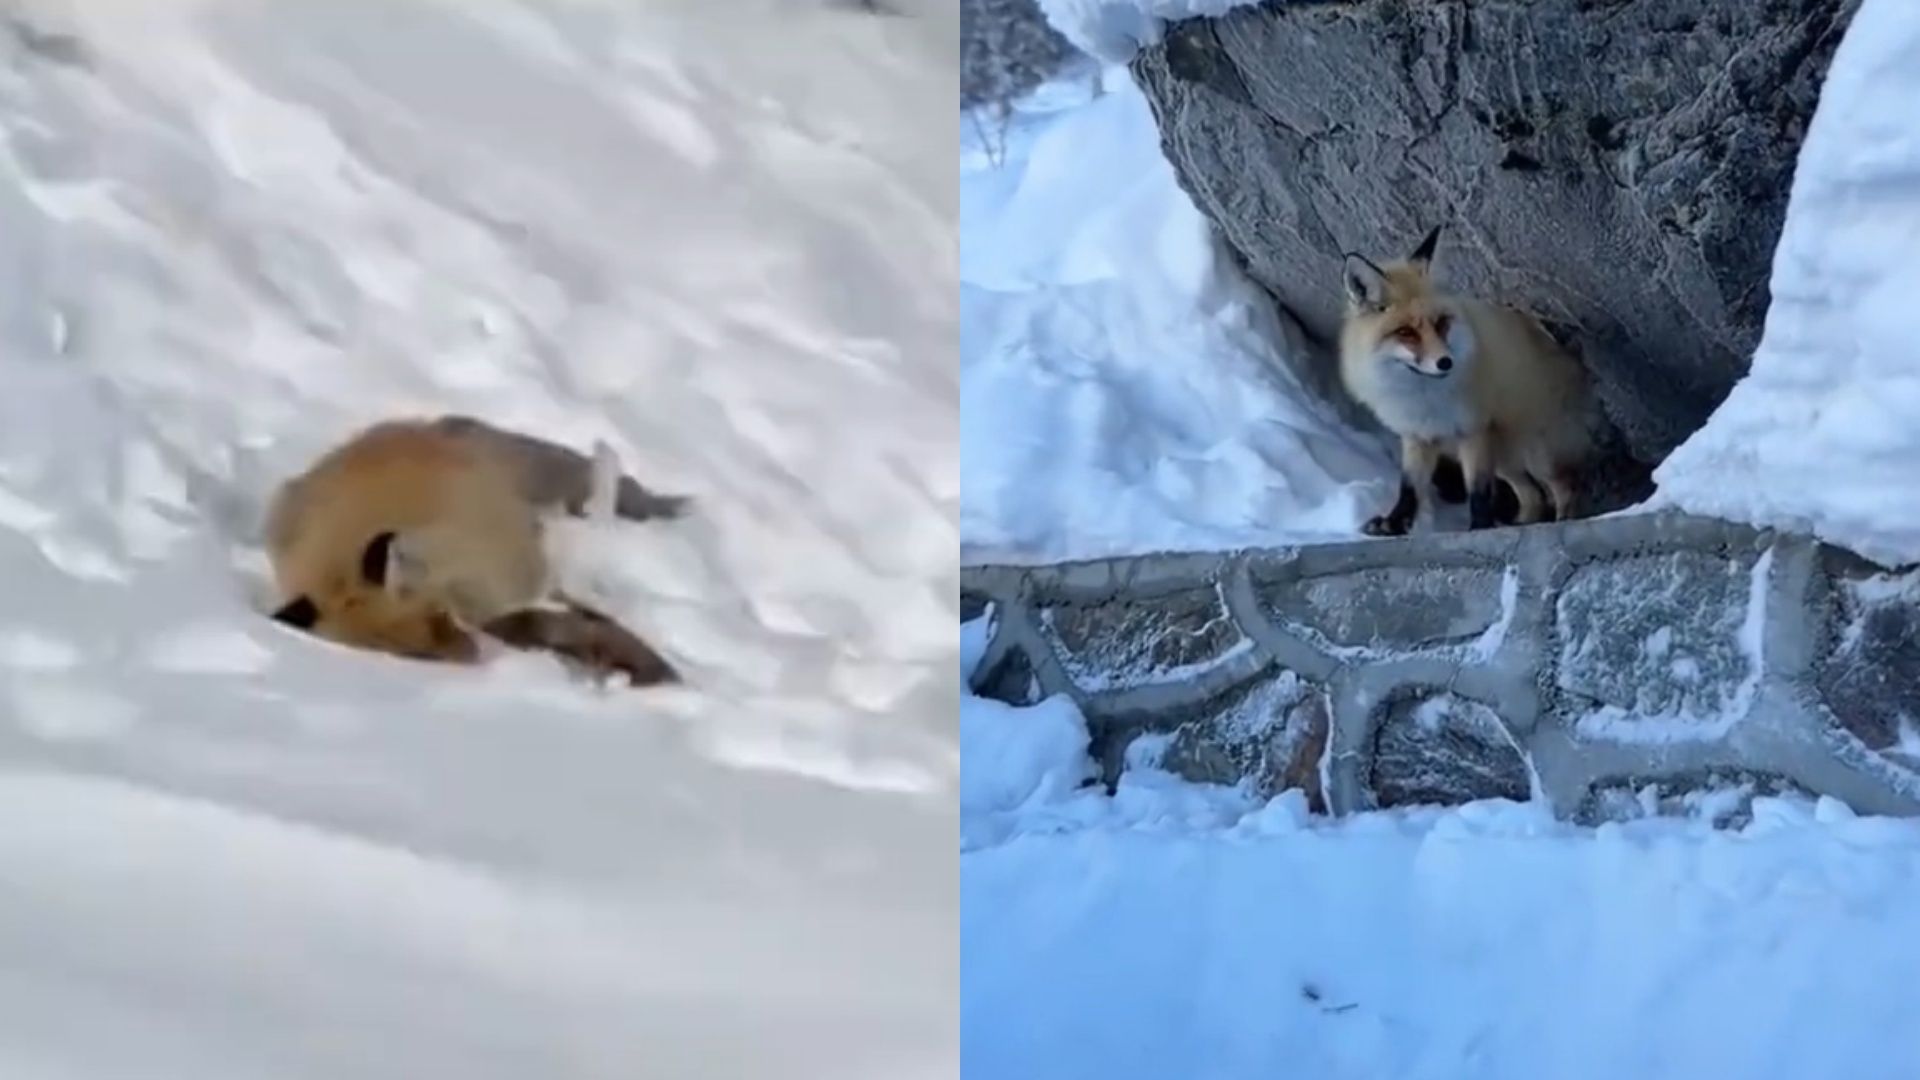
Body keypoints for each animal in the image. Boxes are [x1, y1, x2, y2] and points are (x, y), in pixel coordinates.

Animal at [1344, 223, 1597, 534]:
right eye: (1406, 333)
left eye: (1441, 323)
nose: (1445, 362)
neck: (1424, 397)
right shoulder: (1417, 435)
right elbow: (1409, 487)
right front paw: (1394, 523)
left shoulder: (1473, 429)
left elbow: (1478, 491)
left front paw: (1480, 526)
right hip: (1506, 461)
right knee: (1533, 496)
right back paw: (1522, 523)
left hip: (1538, 454)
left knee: (1565, 487)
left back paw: (1562, 521)